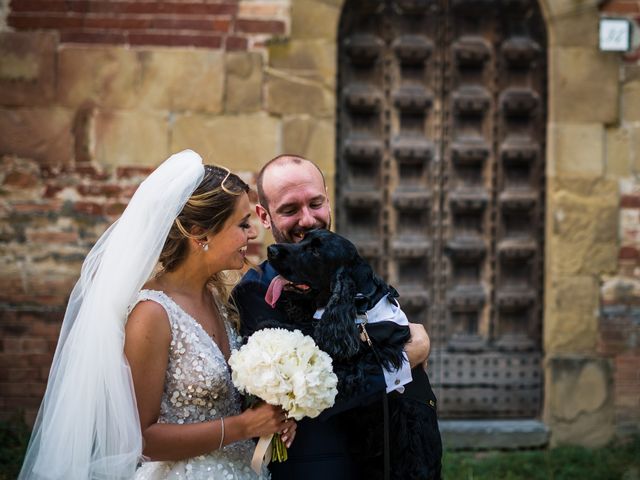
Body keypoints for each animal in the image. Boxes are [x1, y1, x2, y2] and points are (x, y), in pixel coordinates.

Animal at [264, 230, 440, 480]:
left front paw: (268, 325)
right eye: (303, 238)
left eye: (315, 251)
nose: (271, 249)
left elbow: (311, 337)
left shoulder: (358, 368)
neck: (361, 306)